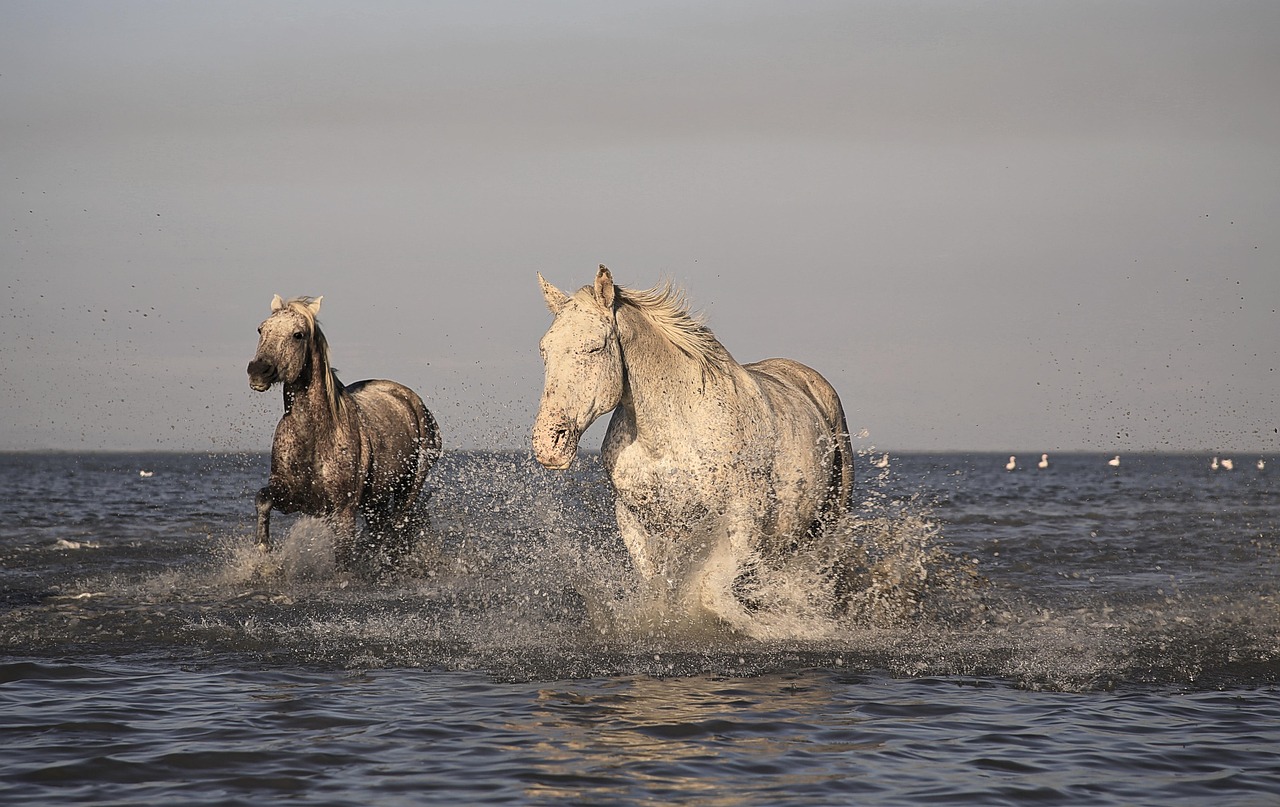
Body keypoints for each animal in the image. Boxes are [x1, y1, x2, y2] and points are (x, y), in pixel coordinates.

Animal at [247, 295, 441, 571]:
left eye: (298, 335)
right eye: (261, 329)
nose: (258, 371)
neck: (315, 436)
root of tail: (411, 400)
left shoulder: (344, 511)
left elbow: (343, 558)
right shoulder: (293, 496)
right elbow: (263, 499)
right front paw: (263, 548)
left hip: (408, 488)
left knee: (397, 526)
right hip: (375, 502)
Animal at [533, 266, 854, 633]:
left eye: (595, 347)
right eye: (544, 349)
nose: (548, 444)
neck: (667, 437)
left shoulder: (743, 517)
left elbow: (712, 593)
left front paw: (778, 629)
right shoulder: (636, 519)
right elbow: (657, 586)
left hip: (828, 521)